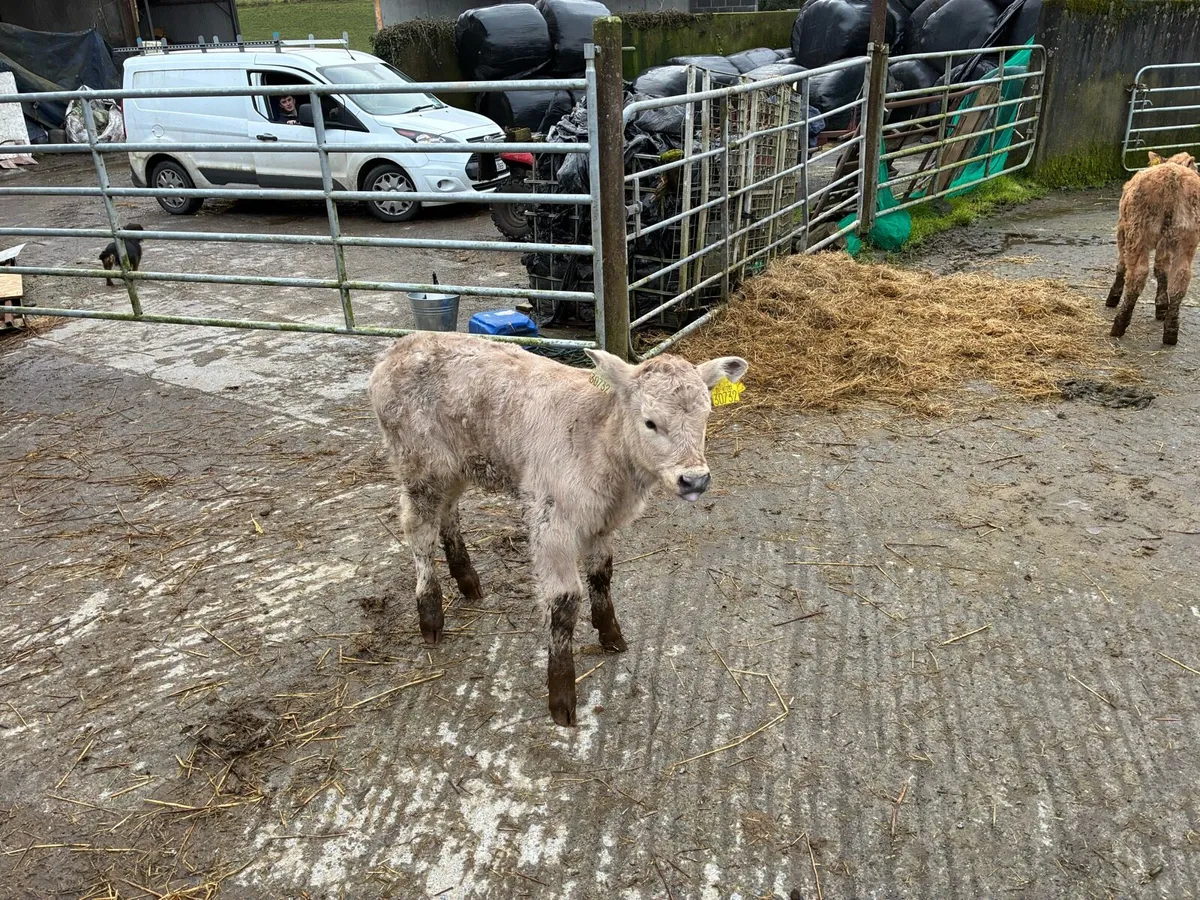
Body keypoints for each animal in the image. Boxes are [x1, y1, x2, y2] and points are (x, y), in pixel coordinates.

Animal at [367, 332, 749, 727]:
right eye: (650, 423)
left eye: (706, 415)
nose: (695, 480)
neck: (598, 436)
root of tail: (403, 344)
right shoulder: (553, 522)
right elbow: (565, 602)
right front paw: (561, 695)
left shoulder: (601, 520)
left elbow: (602, 575)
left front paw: (610, 634)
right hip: (419, 464)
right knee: (419, 531)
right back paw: (430, 612)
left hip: (454, 465)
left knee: (448, 513)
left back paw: (467, 579)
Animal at [1107, 151, 1200, 345]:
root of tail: (1173, 179)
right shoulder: (1166, 243)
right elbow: (1162, 269)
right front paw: (1162, 306)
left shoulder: (1122, 229)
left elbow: (1121, 265)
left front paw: (1113, 297)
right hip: (1187, 239)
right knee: (1180, 277)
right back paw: (1171, 331)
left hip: (1137, 232)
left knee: (1137, 274)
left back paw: (1119, 324)